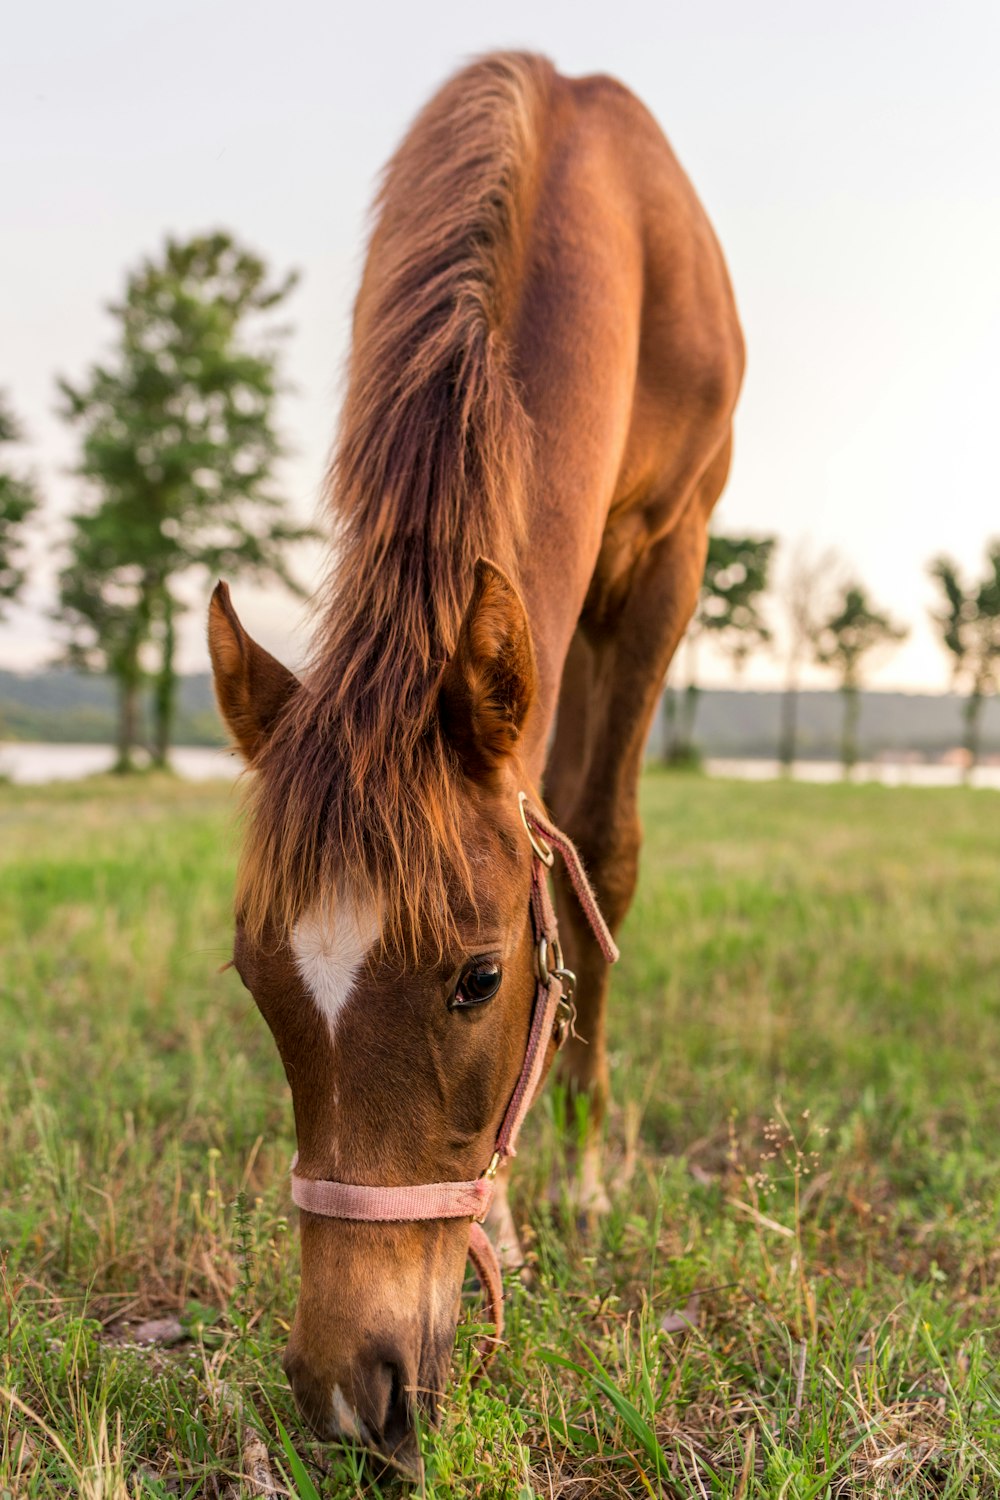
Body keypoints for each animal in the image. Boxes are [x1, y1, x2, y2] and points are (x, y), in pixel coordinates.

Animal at [209, 49, 743, 1476]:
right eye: (256, 978)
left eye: (479, 979)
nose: (349, 1396)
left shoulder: (670, 560)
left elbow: (598, 849)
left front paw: (585, 1169)